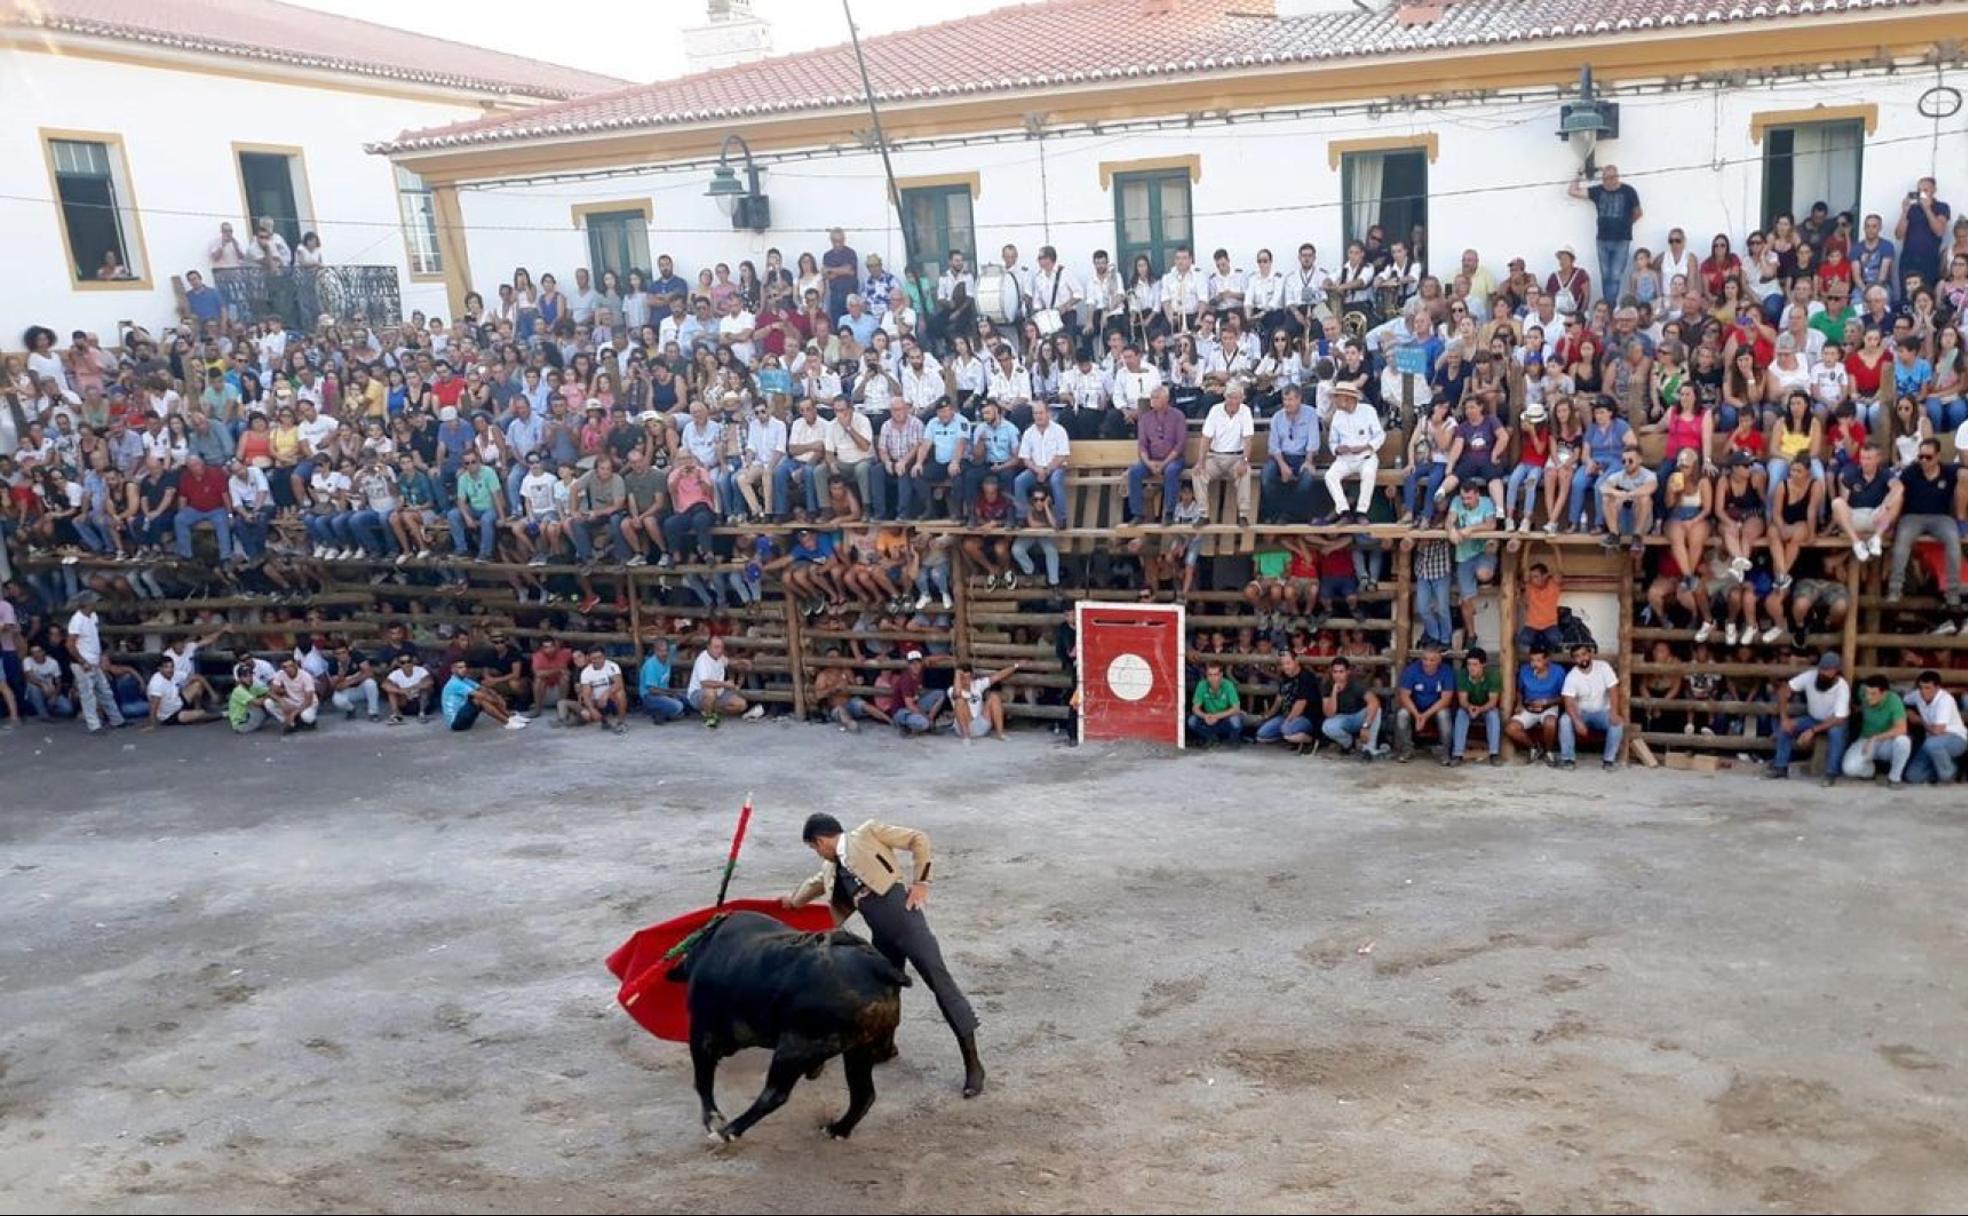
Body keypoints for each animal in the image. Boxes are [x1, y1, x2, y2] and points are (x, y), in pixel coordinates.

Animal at [661, 909, 905, 1133]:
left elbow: (702, 1078)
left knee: (774, 1095)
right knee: (863, 1095)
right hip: (859, 1049)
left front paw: (712, 1119)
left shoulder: (701, 1030)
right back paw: (838, 1130)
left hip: (793, 1050)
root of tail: (879, 969)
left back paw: (728, 1132)